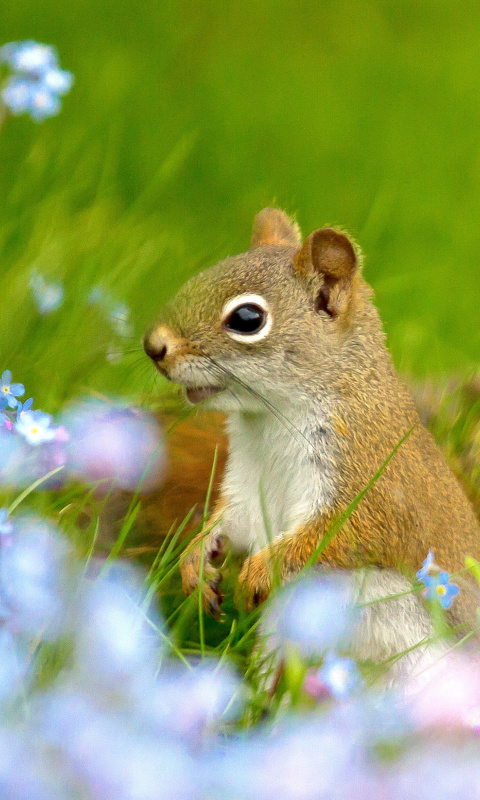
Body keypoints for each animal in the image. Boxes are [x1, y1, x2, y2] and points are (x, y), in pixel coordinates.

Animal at [142, 208, 480, 664]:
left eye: (247, 319)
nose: (153, 346)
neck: (270, 420)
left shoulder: (372, 479)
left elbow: (342, 534)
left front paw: (258, 573)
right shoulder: (249, 485)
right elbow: (235, 521)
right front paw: (196, 560)